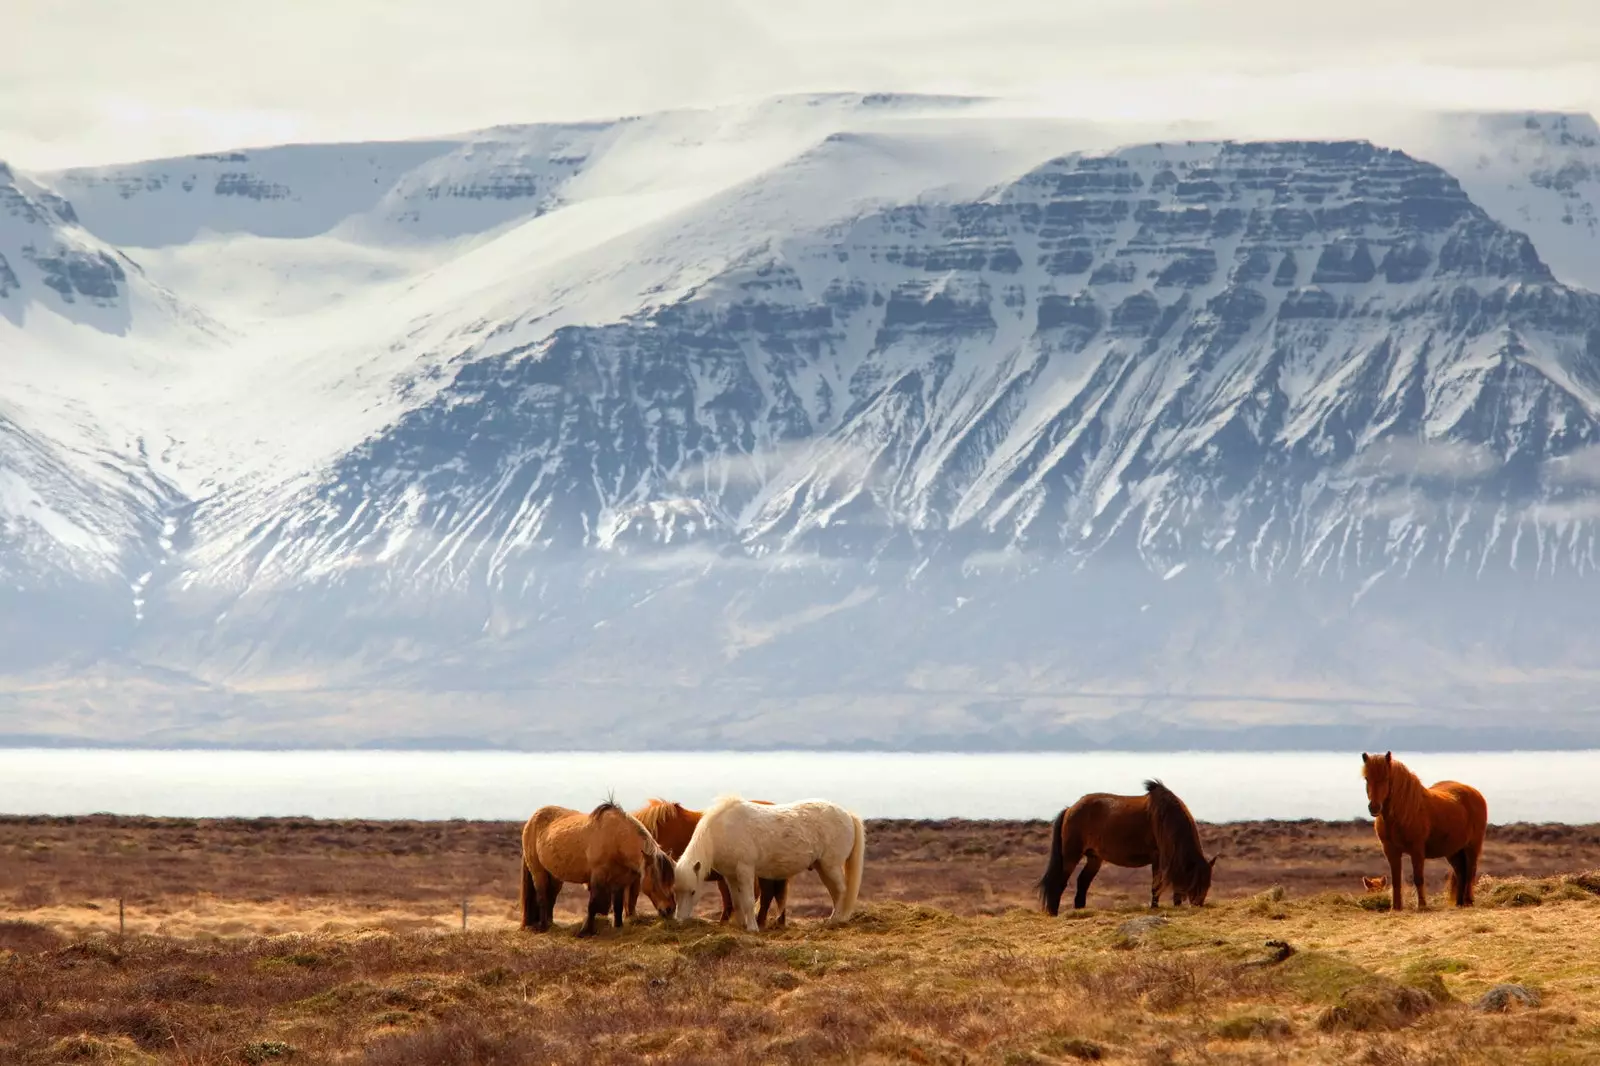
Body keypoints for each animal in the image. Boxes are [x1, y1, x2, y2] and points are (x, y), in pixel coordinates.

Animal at [524, 793, 675, 934]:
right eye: (656, 880)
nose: (670, 909)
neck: (617, 839)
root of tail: (531, 821)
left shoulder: (619, 881)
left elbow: (618, 906)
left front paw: (618, 927)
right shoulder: (597, 876)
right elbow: (593, 904)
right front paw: (584, 931)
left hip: (554, 876)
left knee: (551, 897)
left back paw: (551, 924)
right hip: (538, 872)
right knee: (542, 896)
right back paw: (544, 926)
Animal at [678, 793, 870, 928]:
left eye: (693, 892)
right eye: (675, 891)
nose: (680, 920)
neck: (722, 829)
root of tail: (848, 814)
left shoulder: (745, 870)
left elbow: (748, 900)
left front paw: (752, 928)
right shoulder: (731, 876)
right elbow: (737, 901)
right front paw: (741, 925)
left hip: (831, 866)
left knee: (842, 890)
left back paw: (835, 920)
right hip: (823, 867)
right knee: (835, 892)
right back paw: (835, 919)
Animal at [1036, 777, 1222, 909]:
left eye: (1208, 883)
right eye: (1198, 882)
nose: (1198, 905)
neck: (1167, 819)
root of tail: (1070, 809)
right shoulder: (1158, 858)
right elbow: (1156, 884)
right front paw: (1155, 907)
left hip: (1094, 857)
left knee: (1083, 881)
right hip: (1071, 855)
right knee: (1060, 882)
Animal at [1363, 745, 1484, 902]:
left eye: (1386, 778)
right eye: (1366, 778)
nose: (1374, 807)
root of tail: (1475, 793)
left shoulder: (1417, 850)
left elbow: (1418, 878)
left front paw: (1422, 905)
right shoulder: (1391, 851)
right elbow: (1396, 881)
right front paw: (1396, 906)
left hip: (1472, 847)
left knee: (1470, 872)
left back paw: (1468, 901)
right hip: (1454, 851)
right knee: (1461, 873)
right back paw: (1459, 903)